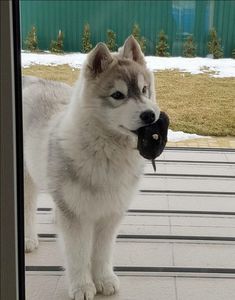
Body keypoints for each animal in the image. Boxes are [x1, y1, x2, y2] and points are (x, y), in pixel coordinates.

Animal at [23, 36, 160, 298]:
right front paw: (82, 286)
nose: (150, 115)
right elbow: (78, 255)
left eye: (144, 90)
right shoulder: (77, 217)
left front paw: (104, 280)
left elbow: (101, 253)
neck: (107, 152)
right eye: (117, 95)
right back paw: (27, 239)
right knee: (27, 207)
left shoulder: (111, 213)